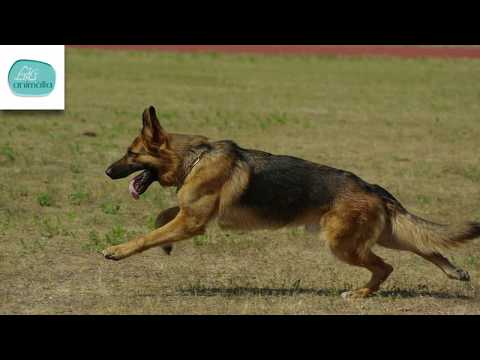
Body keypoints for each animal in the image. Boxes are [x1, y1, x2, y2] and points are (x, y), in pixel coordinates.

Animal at [105, 106, 480, 298]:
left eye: (131, 154)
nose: (107, 171)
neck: (194, 157)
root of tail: (373, 188)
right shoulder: (190, 215)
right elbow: (162, 218)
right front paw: (165, 244)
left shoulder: (192, 221)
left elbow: (148, 236)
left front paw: (118, 251)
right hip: (382, 234)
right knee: (425, 244)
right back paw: (455, 271)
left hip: (343, 244)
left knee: (386, 266)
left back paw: (361, 293)